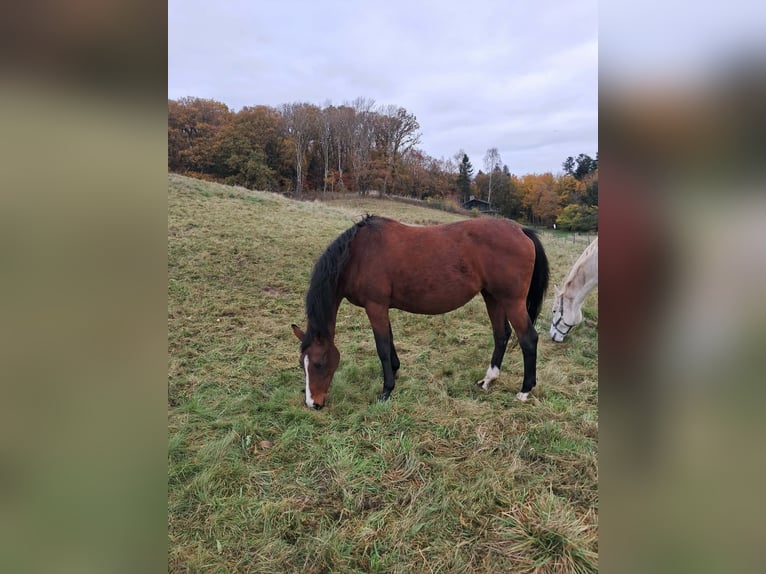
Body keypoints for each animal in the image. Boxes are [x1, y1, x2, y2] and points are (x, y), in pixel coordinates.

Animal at [291, 214, 549, 409]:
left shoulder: (375, 306)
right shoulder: (382, 308)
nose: (313, 404)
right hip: (492, 297)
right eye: (302, 364)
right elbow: (389, 342)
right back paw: (488, 380)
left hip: (512, 301)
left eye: (318, 364)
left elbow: (382, 347)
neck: (358, 254)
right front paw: (394, 372)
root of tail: (521, 230)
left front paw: (386, 391)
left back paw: (524, 391)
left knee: (528, 339)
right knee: (501, 335)